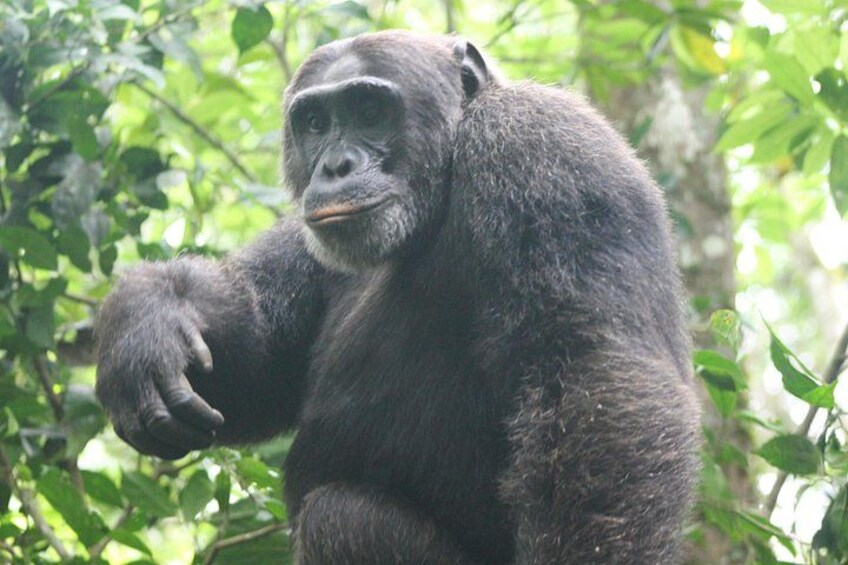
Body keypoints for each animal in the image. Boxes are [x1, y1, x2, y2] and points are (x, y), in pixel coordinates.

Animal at [96, 30, 701, 564]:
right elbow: (261, 364)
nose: (335, 165)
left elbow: (590, 379)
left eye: (369, 111)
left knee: (339, 522)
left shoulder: (546, 151)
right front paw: (147, 324)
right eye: (315, 123)